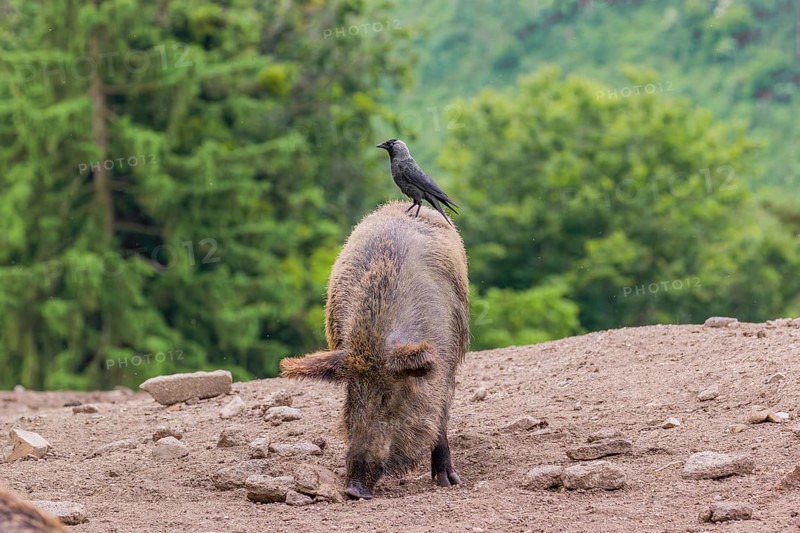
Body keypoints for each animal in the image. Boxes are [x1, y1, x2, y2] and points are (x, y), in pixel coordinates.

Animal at [281, 201, 469, 499]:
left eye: (387, 396)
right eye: (351, 395)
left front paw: (448, 482)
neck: (375, 340)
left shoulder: (447, 366)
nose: (353, 490)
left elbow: (440, 416)